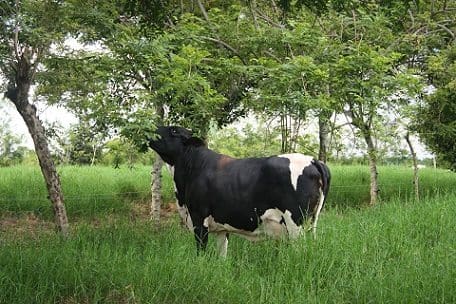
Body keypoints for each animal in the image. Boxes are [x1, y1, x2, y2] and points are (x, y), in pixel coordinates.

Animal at [150, 126, 332, 256]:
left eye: (174, 130)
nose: (151, 128)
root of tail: (312, 159)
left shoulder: (199, 218)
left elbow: (200, 252)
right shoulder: (221, 226)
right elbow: (222, 254)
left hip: (295, 223)